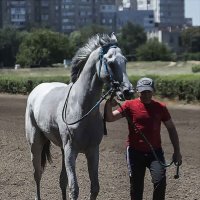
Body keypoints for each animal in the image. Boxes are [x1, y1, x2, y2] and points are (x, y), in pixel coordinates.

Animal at [25, 33, 134, 199]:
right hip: (35, 143)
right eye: (110, 62)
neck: (81, 109)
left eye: (125, 61)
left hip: (62, 149)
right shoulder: (71, 151)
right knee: (37, 174)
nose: (128, 91)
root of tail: (36, 90)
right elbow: (74, 188)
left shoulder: (92, 151)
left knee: (61, 180)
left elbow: (94, 187)